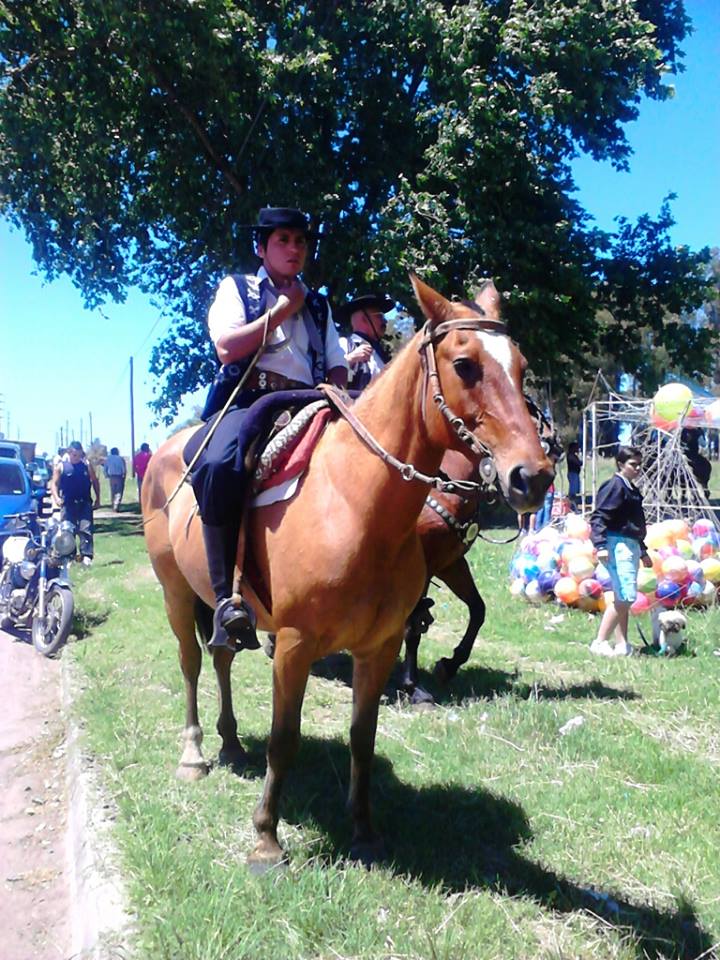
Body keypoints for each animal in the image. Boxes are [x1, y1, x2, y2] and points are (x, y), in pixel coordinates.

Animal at [142, 274, 556, 868]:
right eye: (464, 365)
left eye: (520, 366)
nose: (533, 477)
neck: (356, 504)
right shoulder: (294, 646)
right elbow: (285, 738)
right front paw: (267, 837)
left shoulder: (378, 645)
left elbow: (364, 733)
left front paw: (363, 827)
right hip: (175, 591)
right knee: (192, 663)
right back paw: (195, 752)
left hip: (226, 607)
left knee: (221, 655)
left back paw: (231, 741)